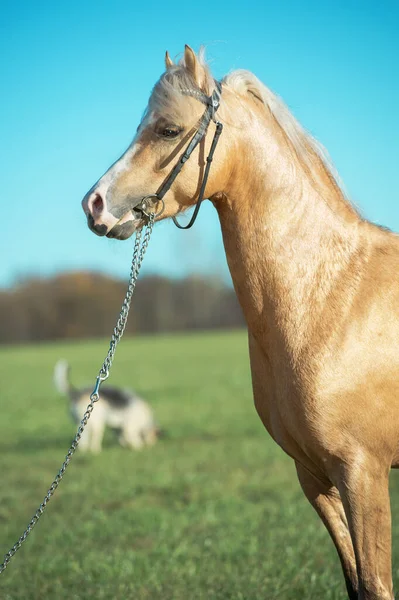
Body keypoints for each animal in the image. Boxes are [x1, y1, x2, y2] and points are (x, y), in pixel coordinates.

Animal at [82, 44, 399, 596]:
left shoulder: (363, 473)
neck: (332, 294)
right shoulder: (314, 476)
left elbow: (377, 585)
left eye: (168, 129)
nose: (94, 204)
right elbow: (355, 582)